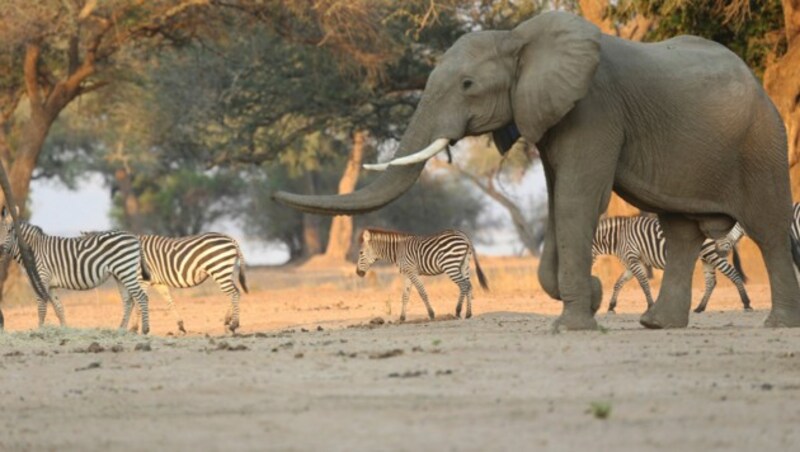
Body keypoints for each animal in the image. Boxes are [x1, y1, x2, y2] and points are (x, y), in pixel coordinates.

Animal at [0, 207, 152, 332]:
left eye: (9, 231)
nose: (0, 249)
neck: (31, 249)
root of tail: (133, 236)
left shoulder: (41, 278)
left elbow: (41, 307)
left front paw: (40, 331)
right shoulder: (50, 284)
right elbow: (58, 308)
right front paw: (64, 330)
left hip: (126, 270)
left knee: (141, 296)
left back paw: (144, 330)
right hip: (120, 274)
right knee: (128, 301)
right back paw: (121, 330)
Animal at [356, 230, 488, 322]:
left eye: (361, 253)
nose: (358, 273)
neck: (398, 251)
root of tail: (464, 236)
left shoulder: (412, 271)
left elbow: (422, 292)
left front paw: (431, 314)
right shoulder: (407, 273)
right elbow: (405, 295)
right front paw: (402, 318)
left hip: (450, 265)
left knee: (464, 285)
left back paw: (458, 311)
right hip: (464, 265)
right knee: (469, 285)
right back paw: (468, 314)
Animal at [592, 216, 752, 314]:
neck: (618, 238)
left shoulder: (633, 259)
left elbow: (643, 283)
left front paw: (650, 306)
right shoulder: (633, 263)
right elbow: (618, 283)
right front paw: (611, 306)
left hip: (714, 253)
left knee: (733, 274)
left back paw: (746, 303)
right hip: (707, 257)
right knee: (711, 282)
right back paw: (700, 308)